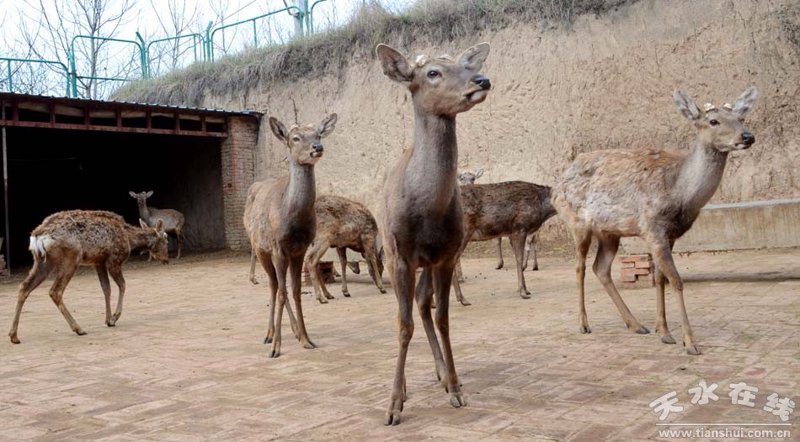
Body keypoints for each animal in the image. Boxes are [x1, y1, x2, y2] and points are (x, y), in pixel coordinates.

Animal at [8, 210, 169, 344]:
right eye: (165, 239)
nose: (166, 260)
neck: (129, 238)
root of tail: (38, 237)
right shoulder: (113, 259)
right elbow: (122, 285)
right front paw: (114, 318)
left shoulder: (99, 262)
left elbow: (106, 289)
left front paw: (107, 319)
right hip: (71, 258)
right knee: (55, 291)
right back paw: (78, 328)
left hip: (42, 261)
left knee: (24, 287)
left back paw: (13, 335)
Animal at [248, 113, 338, 358]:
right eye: (295, 138)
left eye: (318, 134)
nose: (318, 147)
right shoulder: (278, 248)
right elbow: (282, 292)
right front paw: (277, 348)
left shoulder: (299, 249)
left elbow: (296, 292)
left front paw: (307, 339)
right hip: (260, 248)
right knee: (274, 286)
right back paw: (270, 334)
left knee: (281, 287)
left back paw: (295, 332)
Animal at [376, 42, 491, 425]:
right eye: (432, 73)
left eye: (465, 65)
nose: (482, 79)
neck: (428, 212)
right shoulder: (401, 256)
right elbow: (403, 325)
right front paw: (393, 405)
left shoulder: (445, 256)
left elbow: (443, 319)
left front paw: (455, 388)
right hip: (392, 253)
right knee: (408, 309)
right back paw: (406, 387)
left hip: (426, 262)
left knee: (423, 303)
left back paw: (442, 374)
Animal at [552, 87, 758, 355]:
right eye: (714, 121)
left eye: (741, 118)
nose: (747, 136)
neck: (679, 195)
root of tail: (554, 189)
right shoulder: (653, 227)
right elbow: (677, 280)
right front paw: (690, 342)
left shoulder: (670, 235)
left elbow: (661, 278)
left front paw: (664, 332)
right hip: (577, 223)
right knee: (580, 268)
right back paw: (584, 324)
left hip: (610, 232)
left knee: (601, 268)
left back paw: (635, 324)